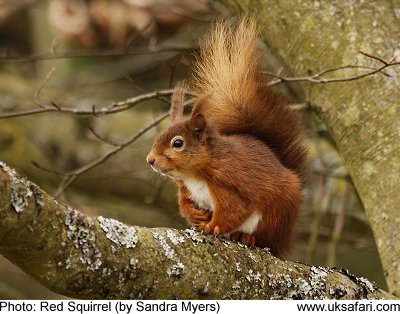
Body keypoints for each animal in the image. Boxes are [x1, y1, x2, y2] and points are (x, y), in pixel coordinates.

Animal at [146, 18, 306, 258]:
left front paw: (212, 227)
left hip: (276, 214)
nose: (150, 160)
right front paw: (194, 216)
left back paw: (246, 237)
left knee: (265, 239)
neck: (194, 174)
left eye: (178, 143)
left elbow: (232, 211)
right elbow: (184, 203)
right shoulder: (186, 189)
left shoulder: (228, 185)